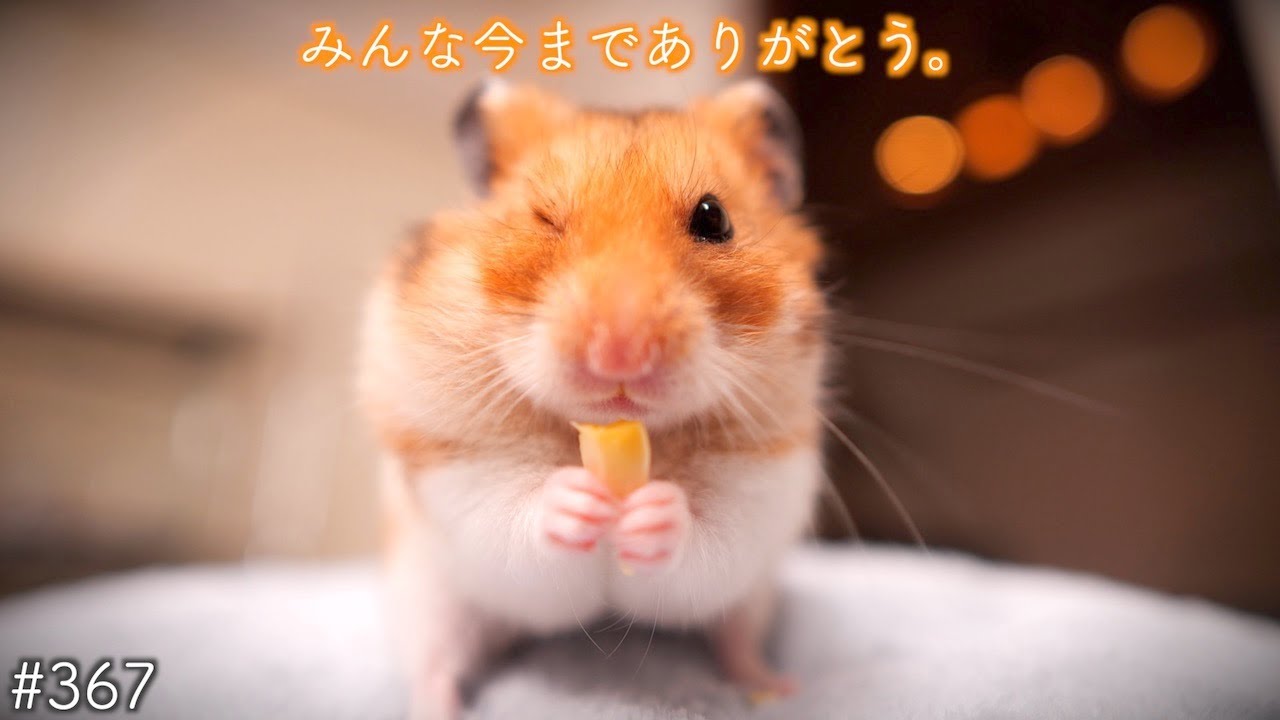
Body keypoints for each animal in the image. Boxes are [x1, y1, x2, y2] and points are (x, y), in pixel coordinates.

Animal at [358, 79, 827, 720]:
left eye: (715, 217)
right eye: (543, 219)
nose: (619, 355)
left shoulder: (765, 485)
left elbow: (710, 538)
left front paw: (655, 511)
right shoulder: (453, 470)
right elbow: (509, 512)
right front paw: (575, 500)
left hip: (757, 596)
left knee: (737, 638)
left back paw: (774, 686)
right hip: (428, 599)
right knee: (436, 666)